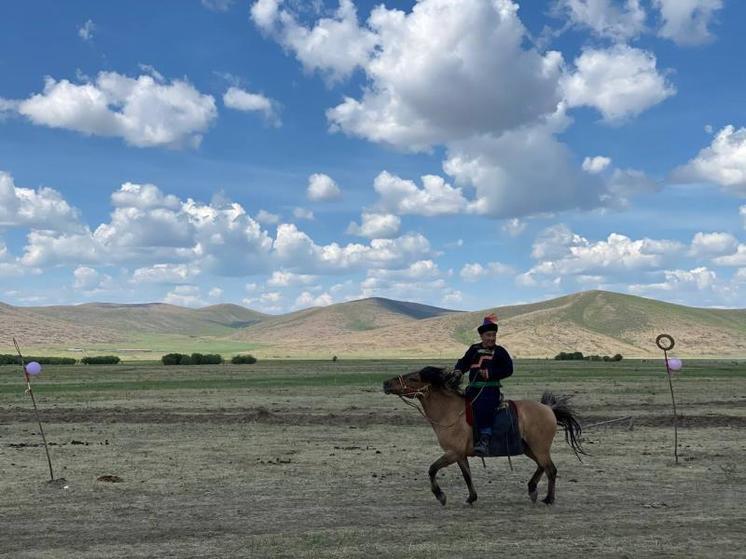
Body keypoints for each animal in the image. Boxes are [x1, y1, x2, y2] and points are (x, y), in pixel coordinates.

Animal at [380, 368, 584, 508]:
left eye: (413, 378)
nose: (386, 384)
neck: (450, 412)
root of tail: (549, 409)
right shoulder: (460, 455)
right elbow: (466, 476)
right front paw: (471, 497)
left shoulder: (452, 453)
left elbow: (432, 469)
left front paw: (441, 496)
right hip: (529, 448)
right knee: (543, 466)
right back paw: (532, 489)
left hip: (539, 447)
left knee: (551, 469)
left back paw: (548, 498)